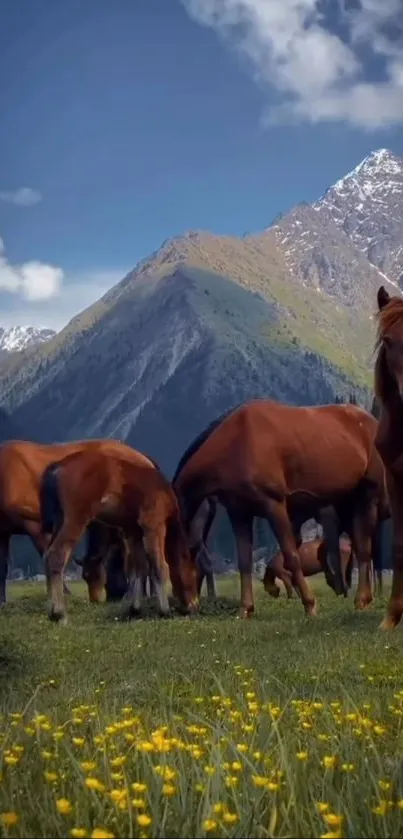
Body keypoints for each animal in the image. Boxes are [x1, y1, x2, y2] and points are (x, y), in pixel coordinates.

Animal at [39, 440, 199, 624]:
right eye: (194, 573)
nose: (193, 606)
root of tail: (58, 466)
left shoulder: (132, 531)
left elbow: (138, 567)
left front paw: (136, 609)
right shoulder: (153, 524)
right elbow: (159, 566)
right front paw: (164, 610)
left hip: (60, 519)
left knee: (47, 555)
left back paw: (53, 611)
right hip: (75, 519)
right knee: (56, 555)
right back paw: (60, 613)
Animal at [174, 400, 388, 616]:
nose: (184, 605)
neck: (237, 443)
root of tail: (372, 422)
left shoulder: (274, 505)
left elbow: (291, 556)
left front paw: (310, 604)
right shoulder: (239, 513)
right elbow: (244, 561)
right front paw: (246, 609)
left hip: (367, 497)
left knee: (363, 549)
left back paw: (362, 599)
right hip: (346, 503)